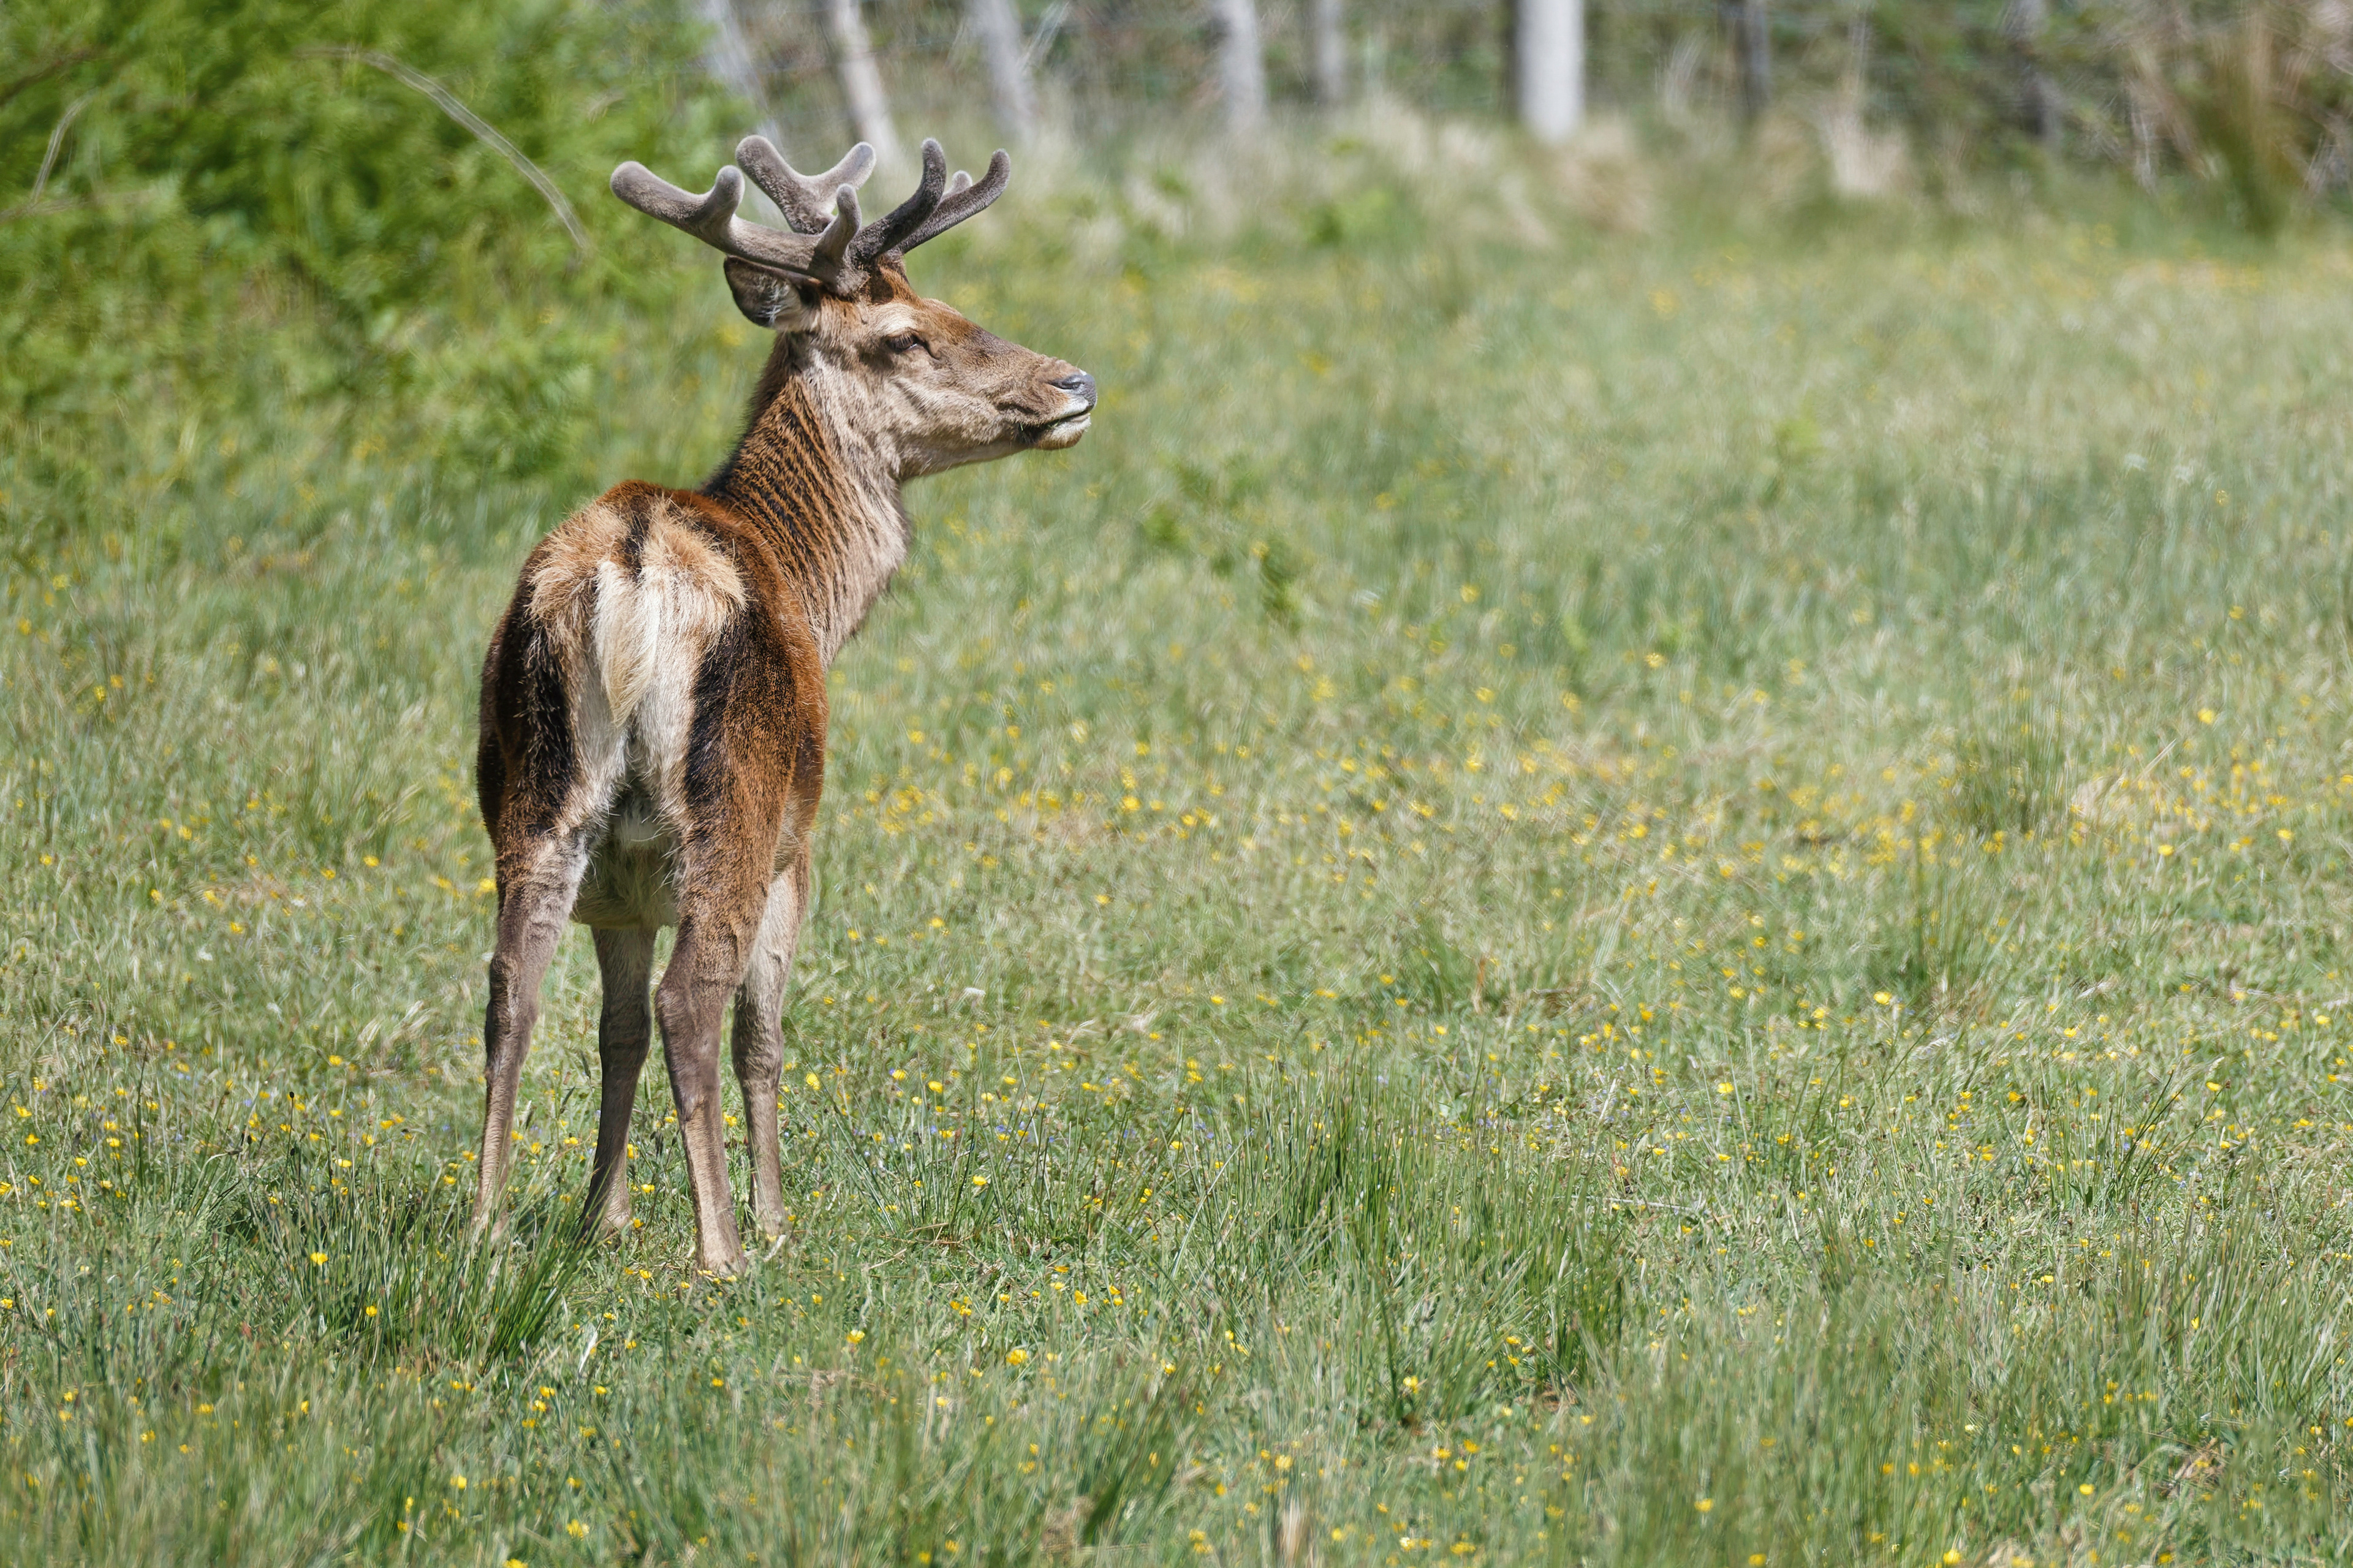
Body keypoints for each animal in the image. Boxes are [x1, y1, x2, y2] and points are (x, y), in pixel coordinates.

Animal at [469, 135, 1095, 1276]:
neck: (815, 590)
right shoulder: (801, 847)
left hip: (544, 801)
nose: (1073, 380)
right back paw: (722, 1251)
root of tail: (632, 565)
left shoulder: (623, 890)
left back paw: (486, 1224)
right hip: (740, 802)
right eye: (906, 335)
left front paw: (598, 1219)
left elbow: (613, 1031)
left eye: (941, 300)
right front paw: (773, 1214)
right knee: (694, 1000)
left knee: (512, 985)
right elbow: (762, 1033)